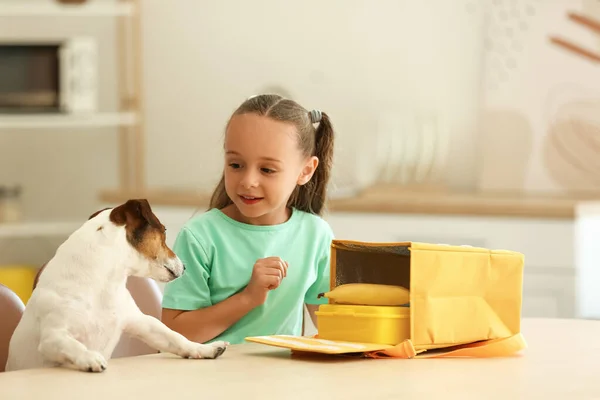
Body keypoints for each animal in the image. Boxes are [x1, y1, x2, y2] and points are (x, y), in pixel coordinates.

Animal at [4, 198, 229, 374]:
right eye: (164, 230)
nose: (185, 266)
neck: (102, 285)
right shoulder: (53, 337)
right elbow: (74, 346)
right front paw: (90, 358)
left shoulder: (143, 323)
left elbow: (176, 338)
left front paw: (205, 349)